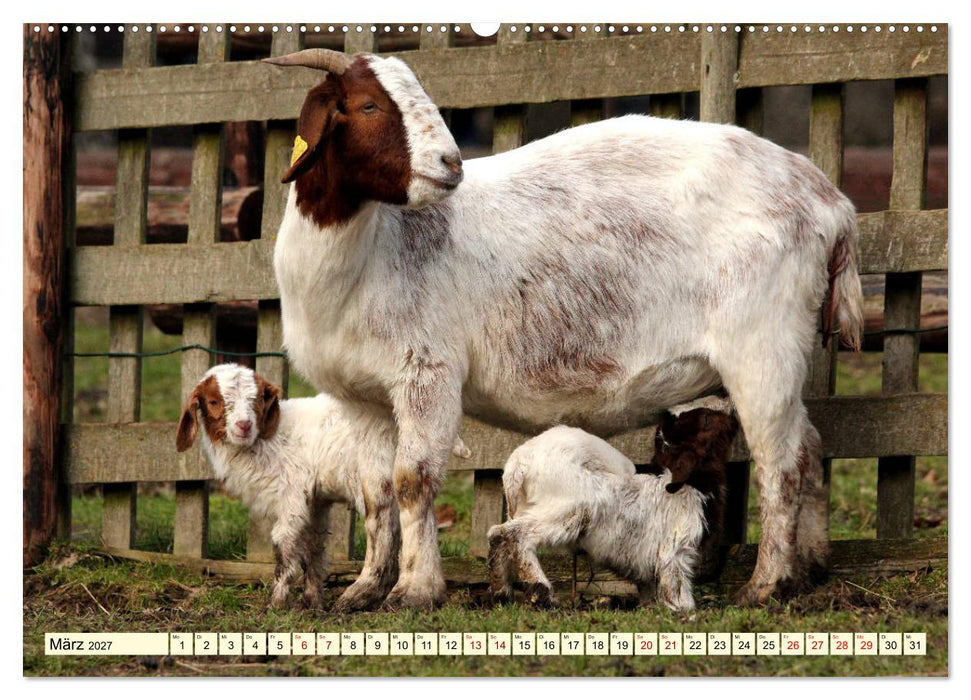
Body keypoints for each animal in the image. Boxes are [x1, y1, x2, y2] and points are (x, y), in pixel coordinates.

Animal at [488, 406, 737, 610]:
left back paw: (501, 592)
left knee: (496, 534)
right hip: (569, 511)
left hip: (529, 508)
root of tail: (519, 463)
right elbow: (676, 585)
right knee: (515, 534)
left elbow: (648, 585)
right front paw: (684, 611)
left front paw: (649, 607)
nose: (733, 415)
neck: (691, 485)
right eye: (707, 420)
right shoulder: (675, 549)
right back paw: (542, 594)